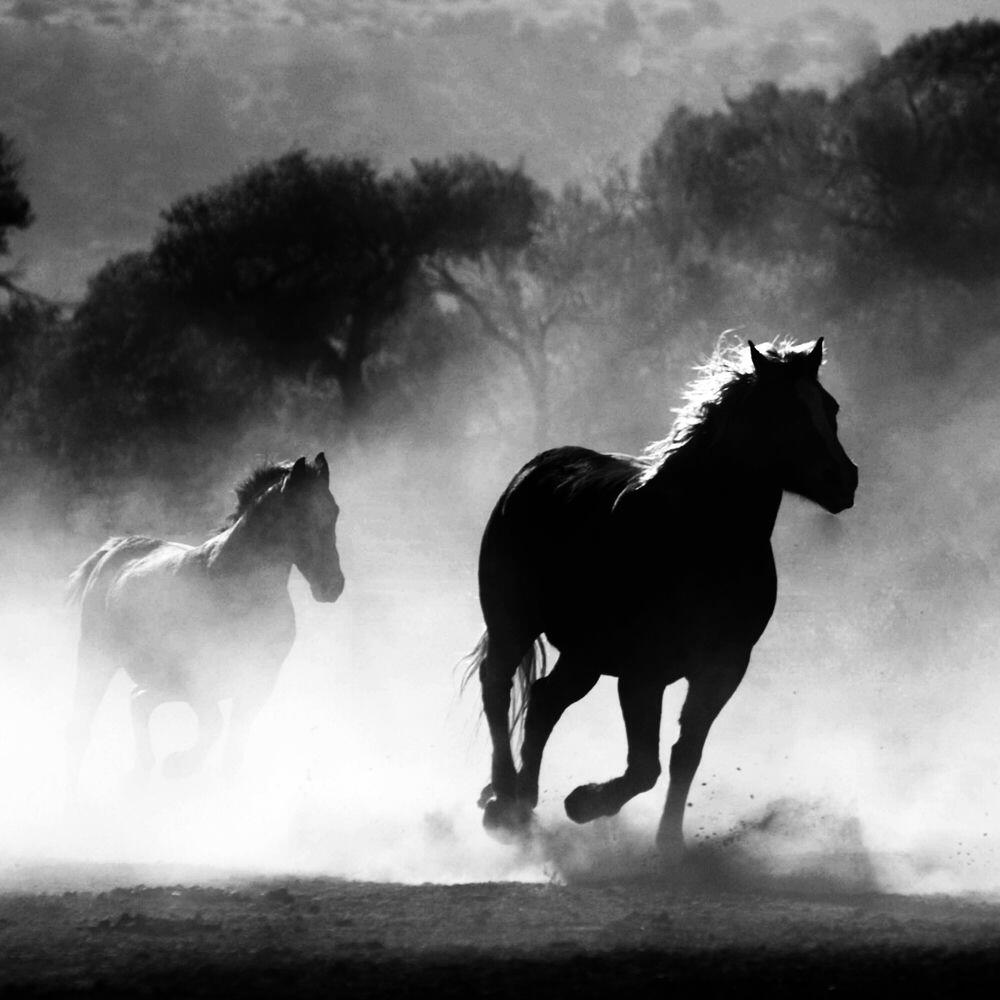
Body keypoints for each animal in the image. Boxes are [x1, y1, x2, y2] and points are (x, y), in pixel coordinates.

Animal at [65, 452, 344, 792]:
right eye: (301, 516)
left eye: (334, 511)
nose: (332, 586)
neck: (238, 590)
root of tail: (113, 550)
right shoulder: (198, 679)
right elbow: (214, 725)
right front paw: (178, 765)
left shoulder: (258, 682)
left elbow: (233, 751)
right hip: (97, 657)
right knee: (82, 725)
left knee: (138, 701)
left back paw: (140, 772)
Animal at [467, 338, 858, 860]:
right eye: (785, 412)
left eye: (829, 407)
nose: (844, 481)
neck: (698, 538)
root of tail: (533, 471)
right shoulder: (642, 673)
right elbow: (644, 766)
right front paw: (583, 803)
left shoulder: (723, 668)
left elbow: (684, 755)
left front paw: (669, 843)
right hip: (514, 625)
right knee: (498, 688)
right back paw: (505, 801)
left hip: (585, 655)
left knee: (544, 699)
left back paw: (524, 802)